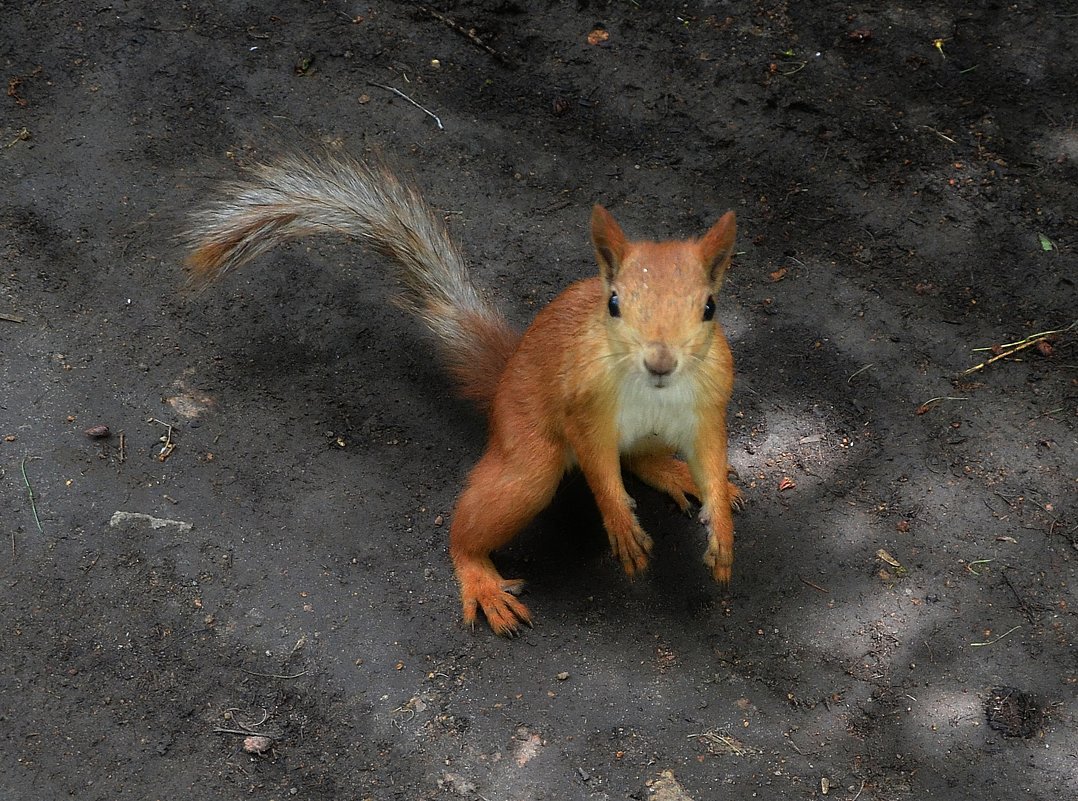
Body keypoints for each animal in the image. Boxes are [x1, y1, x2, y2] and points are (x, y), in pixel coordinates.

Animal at [185, 148, 741, 638]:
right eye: (615, 303)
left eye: (709, 308)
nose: (660, 361)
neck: (654, 389)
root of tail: (505, 378)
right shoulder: (583, 404)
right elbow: (601, 471)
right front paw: (621, 526)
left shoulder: (710, 405)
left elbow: (712, 455)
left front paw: (722, 529)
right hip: (527, 457)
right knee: (488, 515)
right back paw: (479, 576)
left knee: (639, 455)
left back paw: (674, 472)